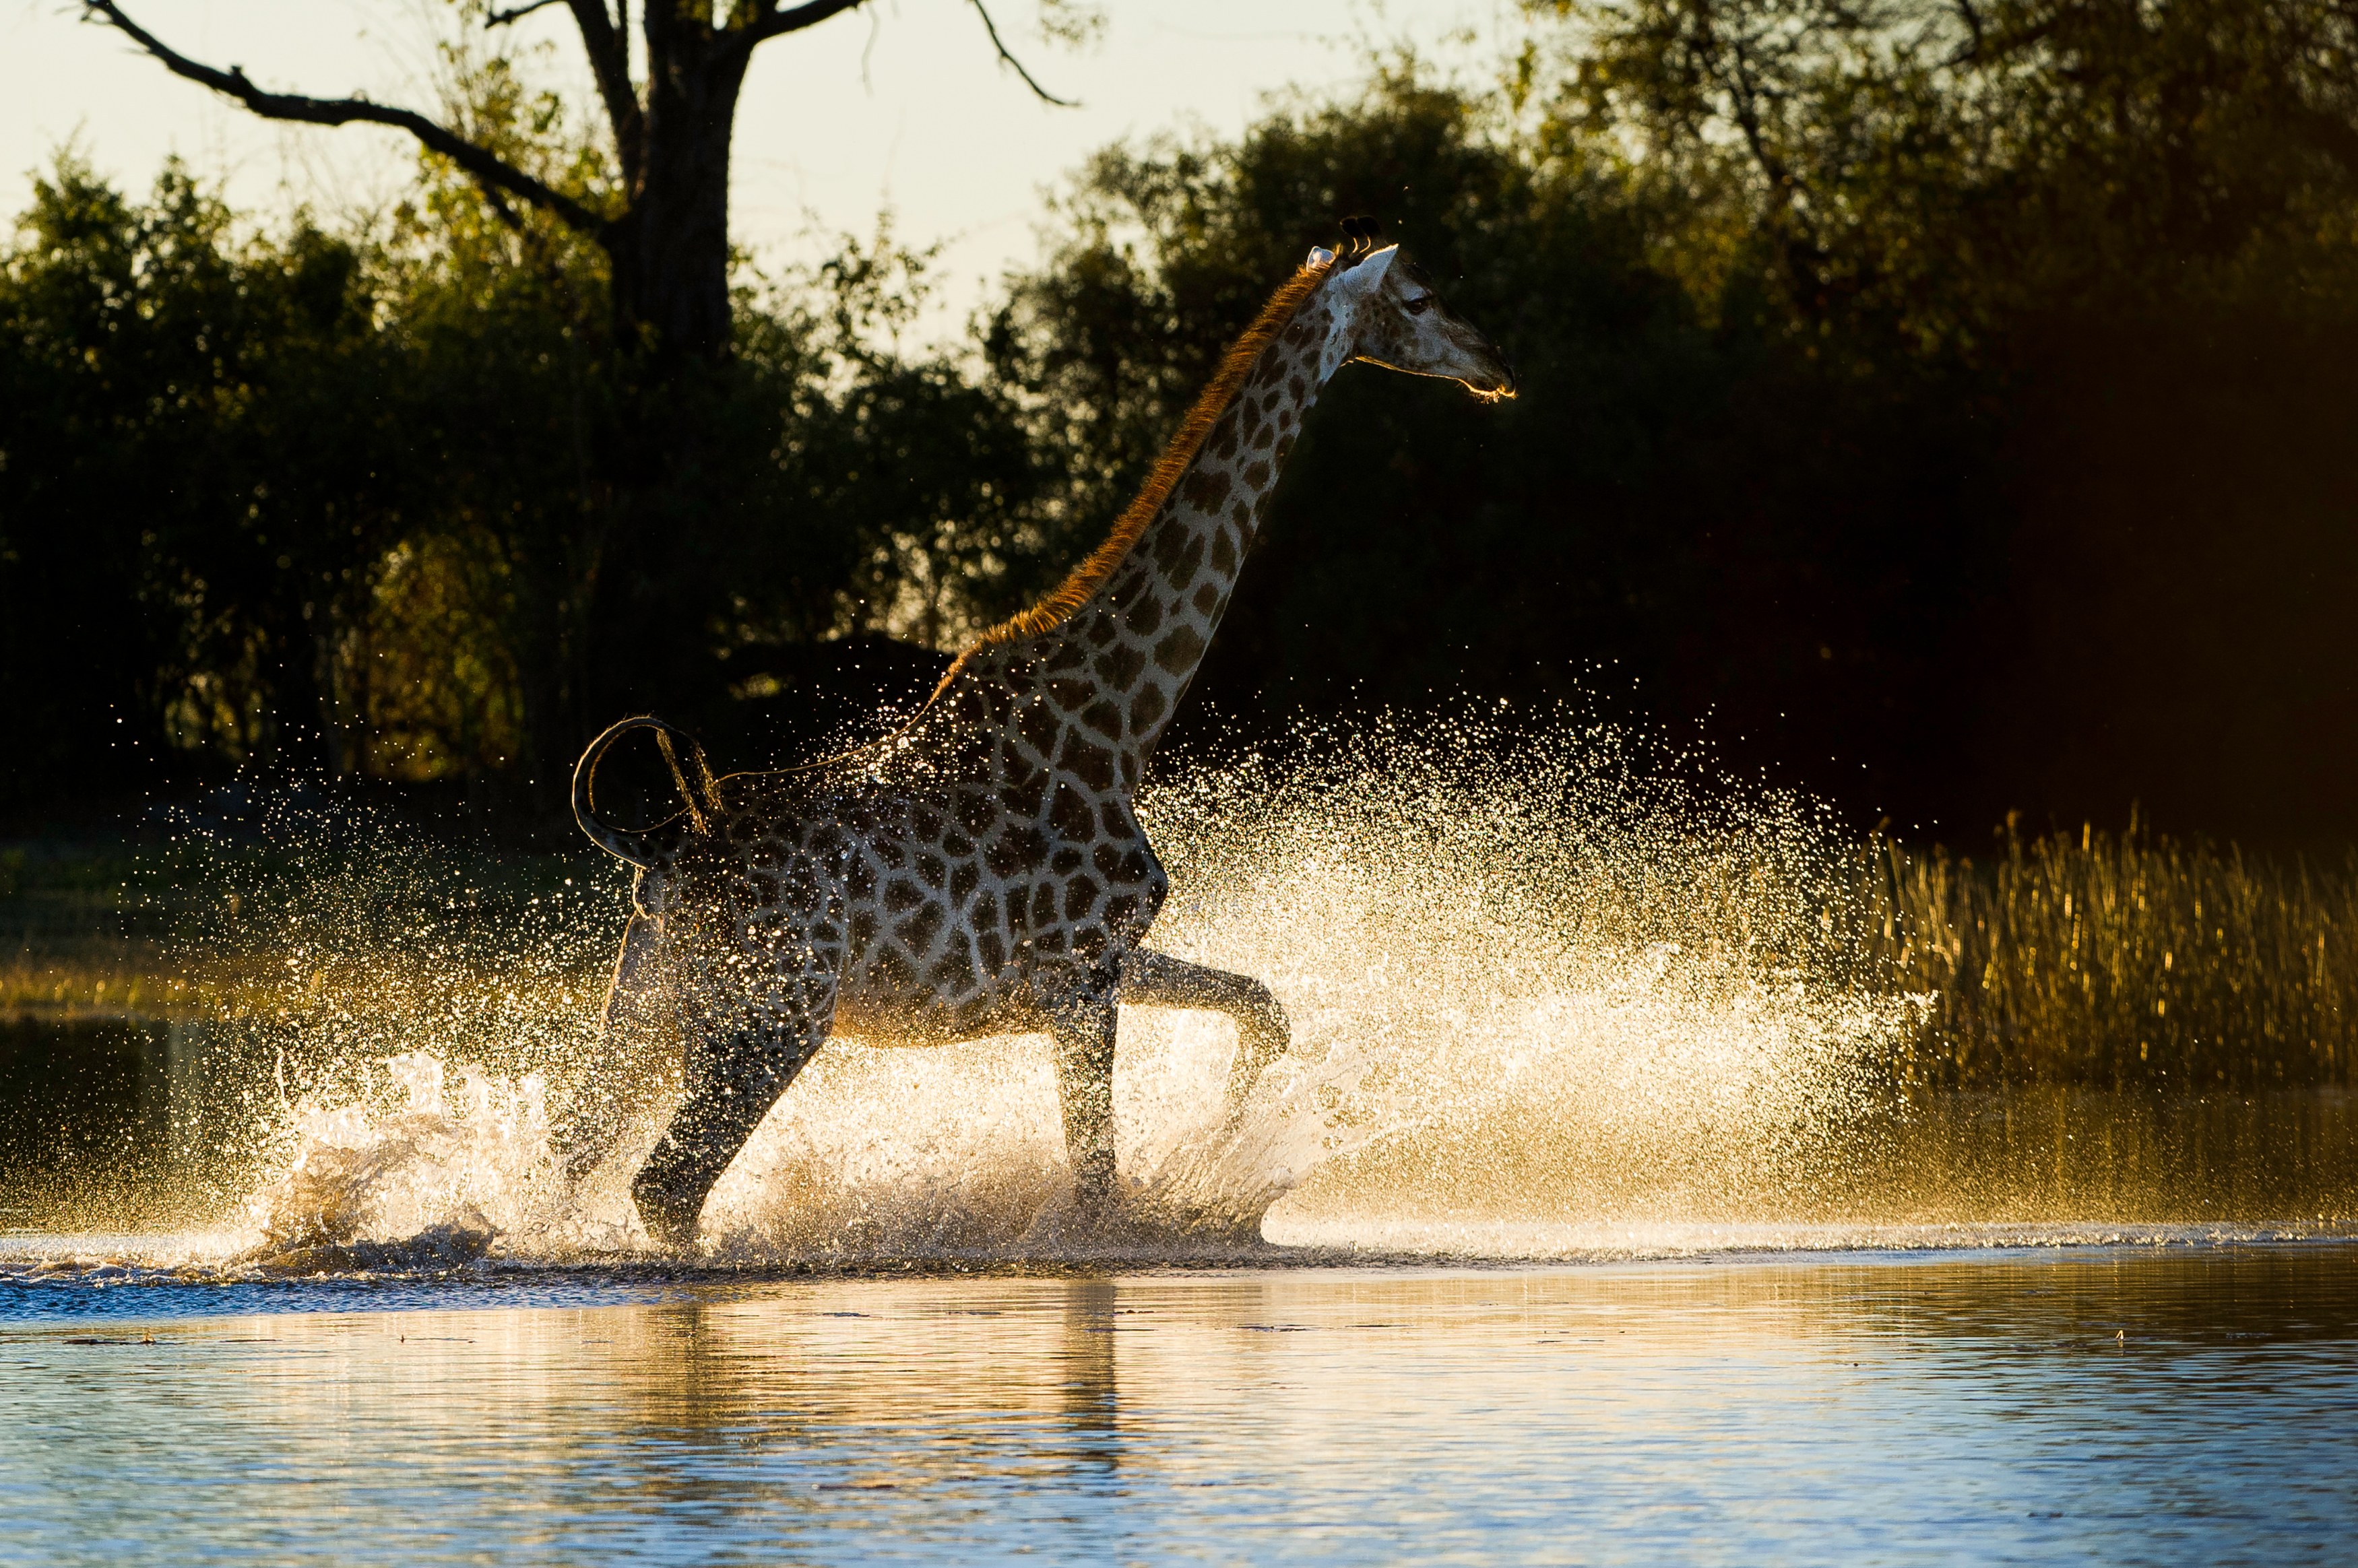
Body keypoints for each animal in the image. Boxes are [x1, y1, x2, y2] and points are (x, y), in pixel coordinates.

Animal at [563, 232, 1517, 1247]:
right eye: (1417, 299)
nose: (1495, 364)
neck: (1119, 722)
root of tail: (660, 849)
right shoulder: (1083, 978)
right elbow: (1096, 1189)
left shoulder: (1092, 967)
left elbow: (1264, 1007)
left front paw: (1213, 1159)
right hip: (777, 1015)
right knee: (666, 1185)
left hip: (650, 1002)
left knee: (575, 1154)